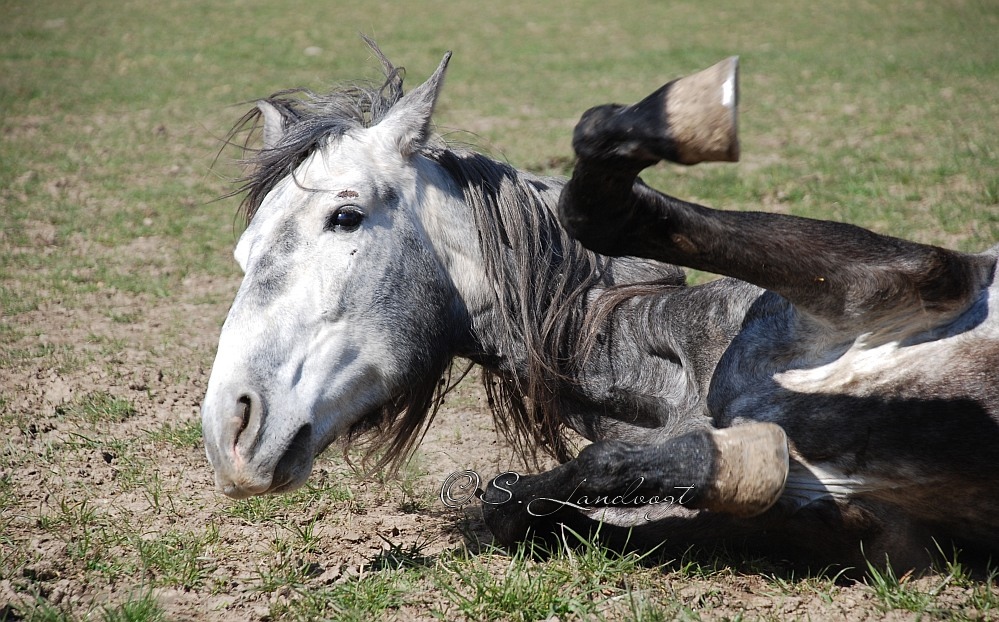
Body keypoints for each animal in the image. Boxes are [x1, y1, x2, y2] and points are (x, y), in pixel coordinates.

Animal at [201, 40, 999, 576]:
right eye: (242, 251)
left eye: (345, 216)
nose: (230, 430)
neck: (674, 370)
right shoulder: (880, 536)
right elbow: (545, 492)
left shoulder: (915, 277)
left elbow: (597, 204)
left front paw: (685, 114)